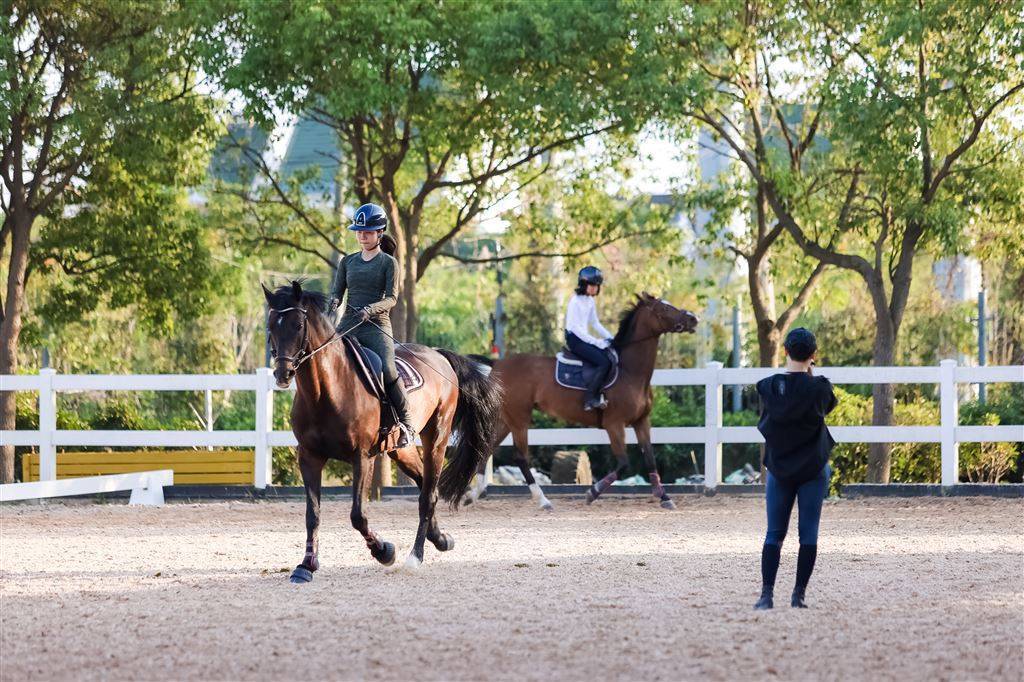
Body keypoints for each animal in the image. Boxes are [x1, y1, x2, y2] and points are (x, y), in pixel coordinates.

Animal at [264, 278, 503, 577]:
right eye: (271, 326)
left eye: (297, 324)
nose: (282, 374)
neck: (326, 391)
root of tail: (438, 354)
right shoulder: (309, 457)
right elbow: (313, 514)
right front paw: (306, 566)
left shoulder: (362, 457)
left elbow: (357, 515)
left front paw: (384, 551)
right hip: (400, 450)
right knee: (426, 485)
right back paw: (440, 539)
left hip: (437, 438)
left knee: (428, 495)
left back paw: (415, 556)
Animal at [468, 292, 700, 509]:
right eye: (664, 308)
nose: (693, 318)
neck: (630, 371)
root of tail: (497, 364)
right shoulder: (614, 425)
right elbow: (623, 463)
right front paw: (592, 492)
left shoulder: (641, 422)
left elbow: (650, 458)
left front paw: (665, 497)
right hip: (519, 418)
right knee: (520, 457)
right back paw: (543, 500)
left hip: (506, 419)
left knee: (487, 448)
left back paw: (471, 495)